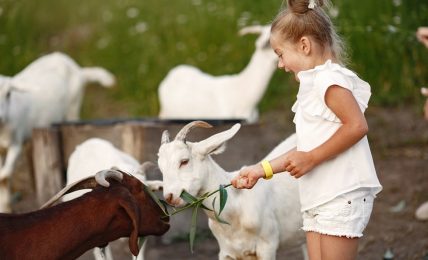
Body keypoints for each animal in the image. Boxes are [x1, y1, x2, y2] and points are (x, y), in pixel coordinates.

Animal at [0, 51, 115, 212]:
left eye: (8, 94)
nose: (0, 116)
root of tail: (78, 69)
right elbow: (3, 177)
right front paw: (5, 208)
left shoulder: (16, 142)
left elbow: (4, 176)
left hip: (73, 106)